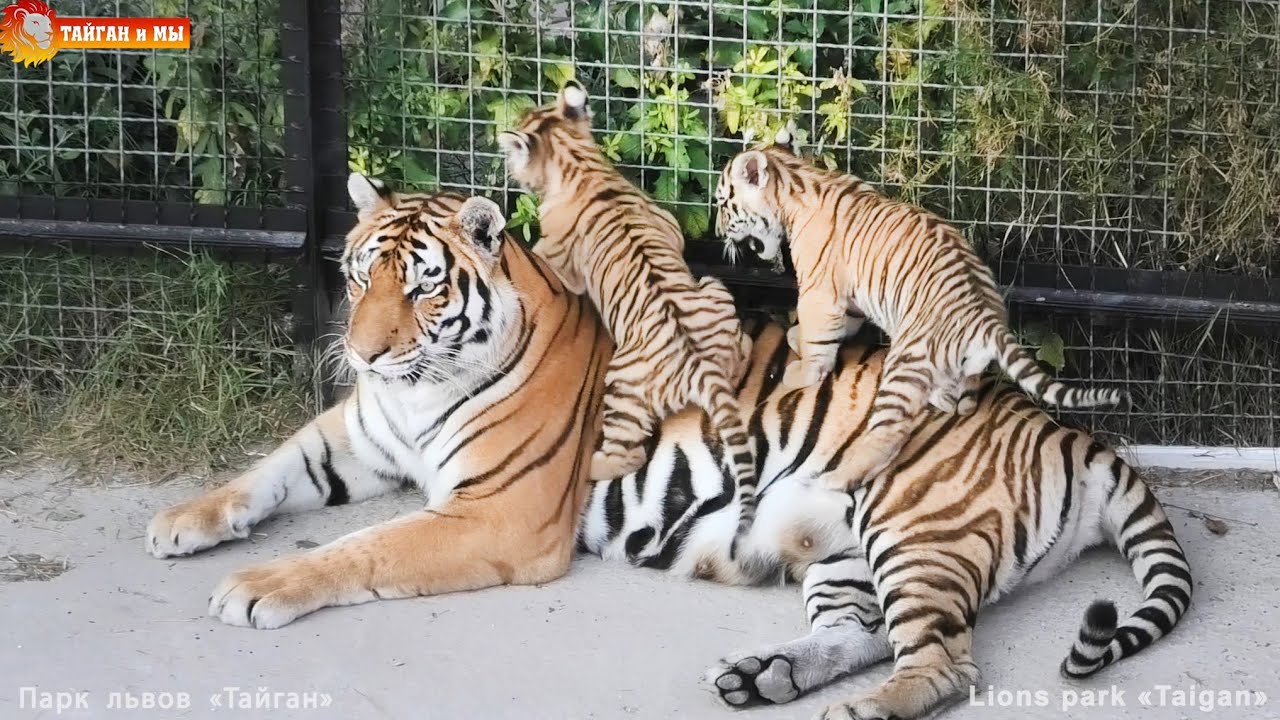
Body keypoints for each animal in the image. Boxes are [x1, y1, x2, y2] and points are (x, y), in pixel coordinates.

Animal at [144, 176, 612, 629]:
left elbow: (370, 544)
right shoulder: (351, 443)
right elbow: (267, 469)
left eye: (424, 288)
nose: (363, 354)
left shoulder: (504, 510)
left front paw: (261, 583)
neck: (415, 396)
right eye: (363, 278)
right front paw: (182, 518)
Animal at [497, 79, 759, 555]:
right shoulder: (668, 225)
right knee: (740, 351)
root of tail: (701, 367)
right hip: (713, 285)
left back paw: (591, 464)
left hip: (620, 383)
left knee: (628, 455)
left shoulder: (556, 258)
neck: (577, 160)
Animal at [580, 317, 1192, 720]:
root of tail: (1066, 431)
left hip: (914, 533)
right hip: (845, 554)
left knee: (946, 665)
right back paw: (762, 676)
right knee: (864, 632)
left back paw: (858, 711)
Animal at [714, 130, 1125, 493]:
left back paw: (833, 479)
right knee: (958, 401)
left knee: (889, 434)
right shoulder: (851, 299)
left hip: (904, 362)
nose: (718, 234)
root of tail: (986, 316)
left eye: (722, 203)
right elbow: (839, 327)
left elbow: (818, 341)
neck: (798, 179)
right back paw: (940, 398)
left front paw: (801, 367)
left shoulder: (819, 291)